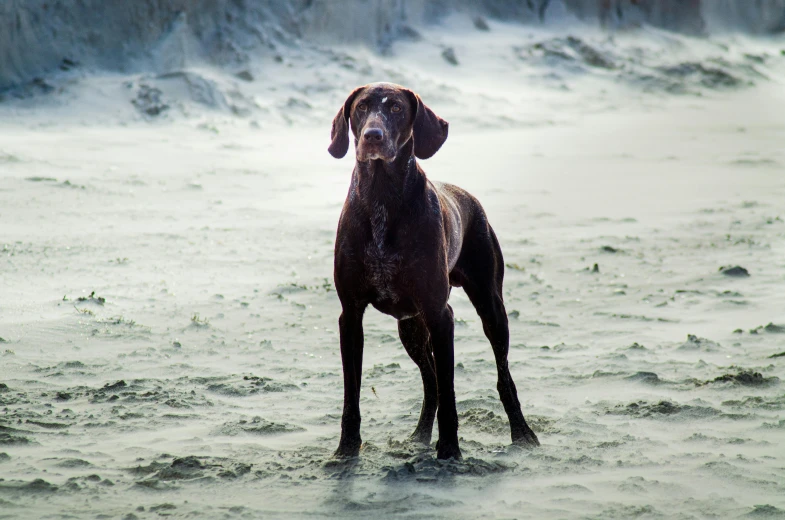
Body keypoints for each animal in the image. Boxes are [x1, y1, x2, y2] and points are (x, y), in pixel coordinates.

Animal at [326, 81, 540, 460]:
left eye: (396, 108)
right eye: (361, 107)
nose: (372, 136)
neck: (381, 195)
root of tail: (466, 195)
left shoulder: (441, 315)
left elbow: (450, 392)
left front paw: (450, 450)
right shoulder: (350, 316)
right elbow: (353, 392)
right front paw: (346, 449)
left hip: (491, 309)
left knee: (501, 376)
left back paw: (522, 433)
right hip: (411, 327)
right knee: (430, 381)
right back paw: (420, 434)